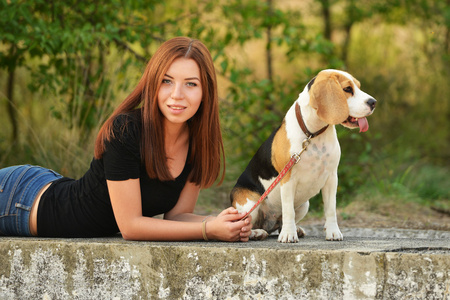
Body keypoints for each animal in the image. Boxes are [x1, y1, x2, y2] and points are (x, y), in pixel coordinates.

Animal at [232, 69, 376, 243]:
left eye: (359, 87)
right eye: (348, 89)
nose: (373, 102)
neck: (313, 133)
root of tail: (268, 223)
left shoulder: (331, 178)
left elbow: (330, 209)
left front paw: (333, 232)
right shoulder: (287, 179)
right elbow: (288, 210)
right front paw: (288, 234)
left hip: (304, 204)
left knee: (279, 223)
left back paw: (295, 229)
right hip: (249, 204)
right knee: (245, 227)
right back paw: (257, 233)